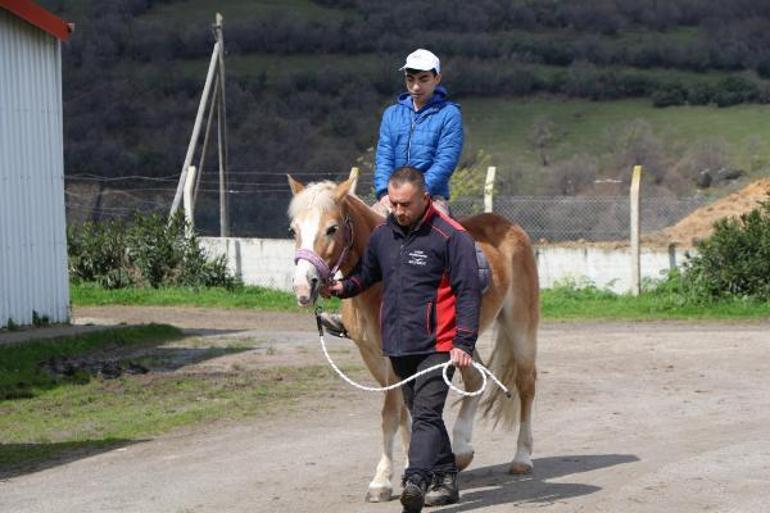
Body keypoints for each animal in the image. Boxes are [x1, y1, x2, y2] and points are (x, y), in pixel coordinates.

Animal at [284, 172, 536, 500]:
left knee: (526, 385)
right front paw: (408, 467)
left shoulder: (394, 357)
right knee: (475, 379)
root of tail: (511, 226)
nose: (304, 287)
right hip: (463, 344)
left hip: (521, 327)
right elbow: (402, 411)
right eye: (294, 230)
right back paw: (462, 451)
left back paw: (522, 458)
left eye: (332, 228)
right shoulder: (374, 356)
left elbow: (392, 412)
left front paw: (381, 481)